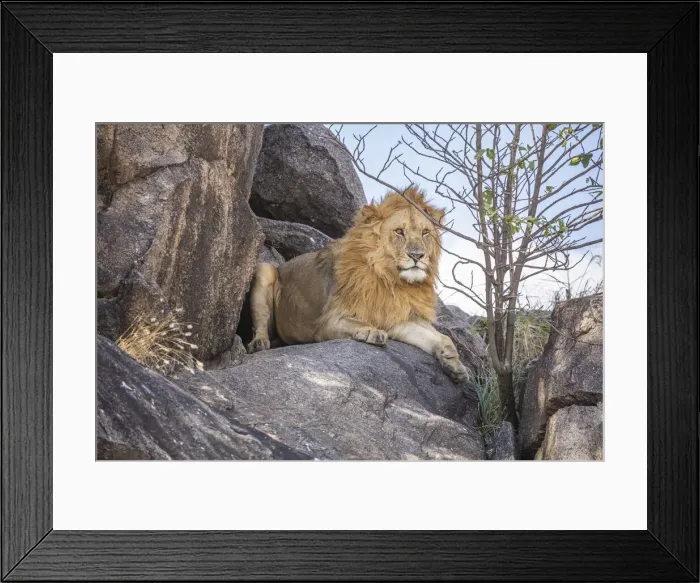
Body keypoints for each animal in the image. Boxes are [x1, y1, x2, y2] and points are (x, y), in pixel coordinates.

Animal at [247, 186, 468, 383]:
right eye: (399, 231)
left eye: (425, 233)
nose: (417, 255)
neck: (391, 281)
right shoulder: (327, 322)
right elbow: (356, 322)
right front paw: (371, 331)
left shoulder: (396, 318)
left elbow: (441, 337)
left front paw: (454, 364)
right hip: (265, 269)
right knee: (260, 324)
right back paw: (259, 343)